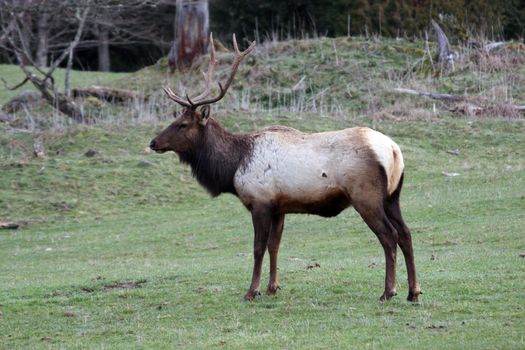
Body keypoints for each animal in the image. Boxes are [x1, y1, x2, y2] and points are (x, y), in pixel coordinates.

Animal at [149, 34, 420, 302]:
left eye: (183, 124)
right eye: (176, 119)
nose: (153, 142)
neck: (233, 166)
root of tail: (393, 150)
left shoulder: (259, 202)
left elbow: (258, 247)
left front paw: (252, 291)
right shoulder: (279, 207)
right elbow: (275, 245)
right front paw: (272, 287)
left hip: (366, 196)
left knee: (389, 236)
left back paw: (388, 291)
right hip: (392, 196)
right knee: (406, 233)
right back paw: (413, 291)